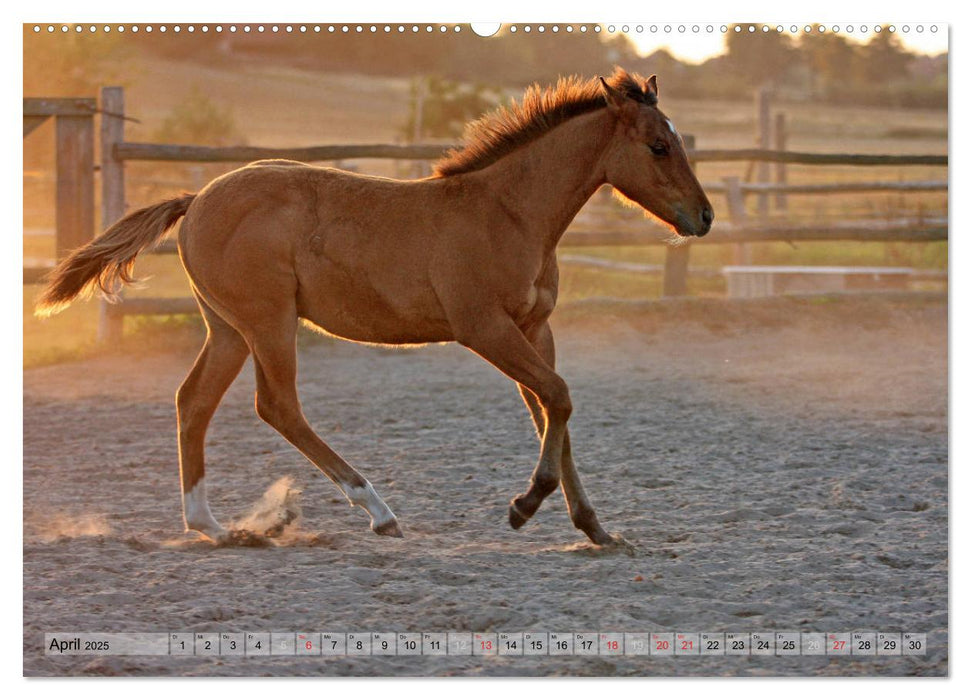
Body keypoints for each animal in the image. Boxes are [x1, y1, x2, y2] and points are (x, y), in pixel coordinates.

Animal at [36, 67, 712, 548]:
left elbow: (553, 409)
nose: (703, 217)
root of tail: (197, 197)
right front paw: (524, 506)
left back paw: (215, 527)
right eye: (658, 145)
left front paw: (597, 529)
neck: (509, 213)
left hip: (227, 328)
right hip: (268, 321)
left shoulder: (532, 328)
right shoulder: (485, 328)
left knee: (193, 401)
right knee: (276, 406)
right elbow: (558, 399)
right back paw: (378, 511)